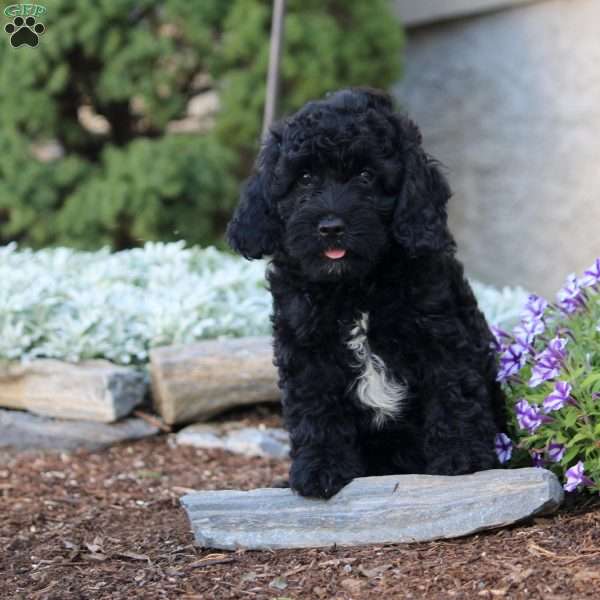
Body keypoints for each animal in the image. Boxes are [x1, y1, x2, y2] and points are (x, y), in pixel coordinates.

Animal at [227, 89, 504, 500]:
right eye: (305, 178)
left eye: (366, 176)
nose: (330, 227)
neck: (354, 287)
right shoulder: (307, 347)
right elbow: (315, 409)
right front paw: (319, 469)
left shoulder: (439, 332)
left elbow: (453, 389)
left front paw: (463, 456)